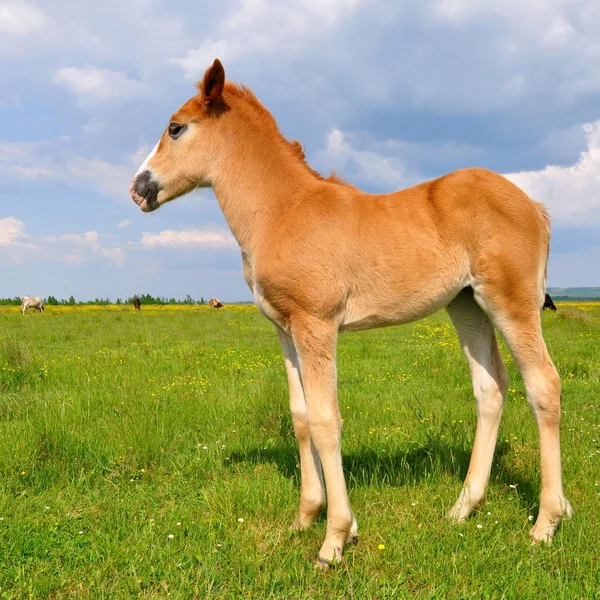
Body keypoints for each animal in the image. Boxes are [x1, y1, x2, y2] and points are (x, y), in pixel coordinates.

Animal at [130, 58, 572, 564]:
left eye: (175, 128)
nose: (138, 189)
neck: (281, 210)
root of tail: (534, 205)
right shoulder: (285, 329)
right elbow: (301, 416)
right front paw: (305, 517)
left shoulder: (316, 324)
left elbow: (326, 420)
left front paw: (335, 537)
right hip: (467, 306)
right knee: (490, 387)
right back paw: (464, 507)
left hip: (511, 302)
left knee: (543, 383)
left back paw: (546, 522)